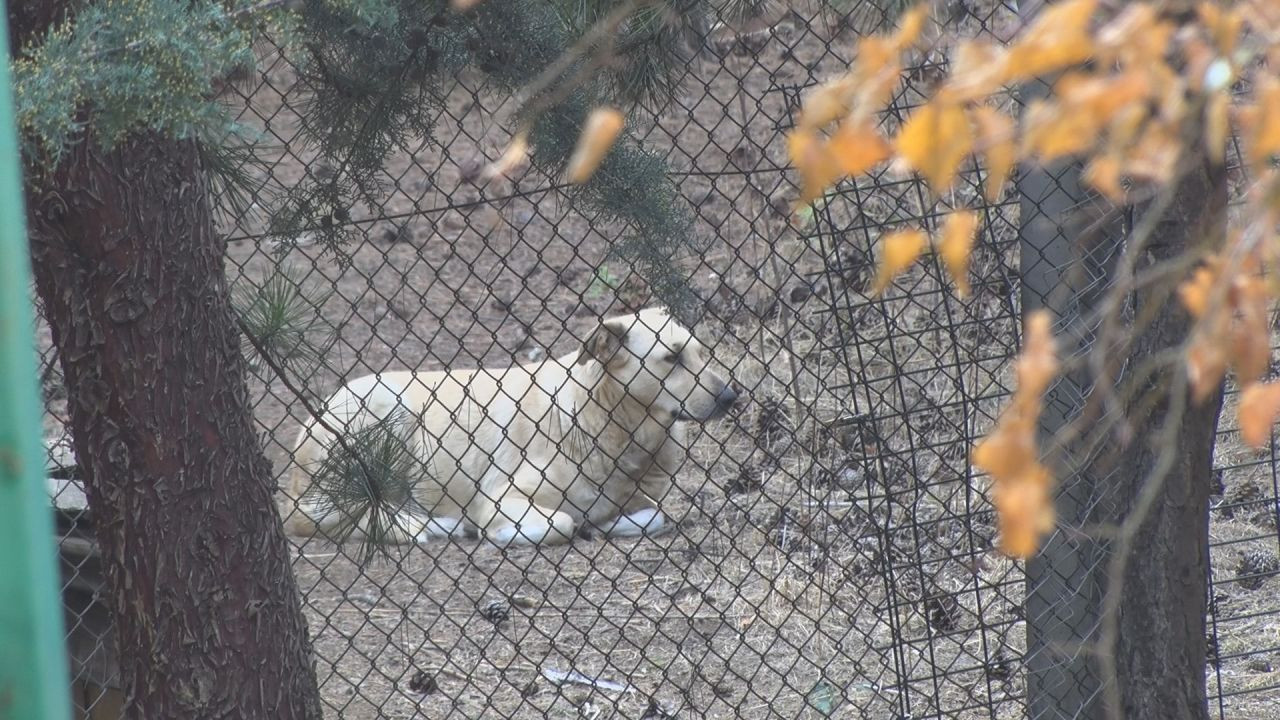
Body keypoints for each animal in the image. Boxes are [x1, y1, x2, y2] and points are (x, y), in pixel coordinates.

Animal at [284, 307, 737, 543]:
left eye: (700, 352)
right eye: (671, 358)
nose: (733, 396)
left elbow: (651, 514)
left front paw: (609, 524)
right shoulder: (500, 498)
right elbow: (562, 522)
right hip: (388, 407)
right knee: (331, 516)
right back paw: (429, 526)